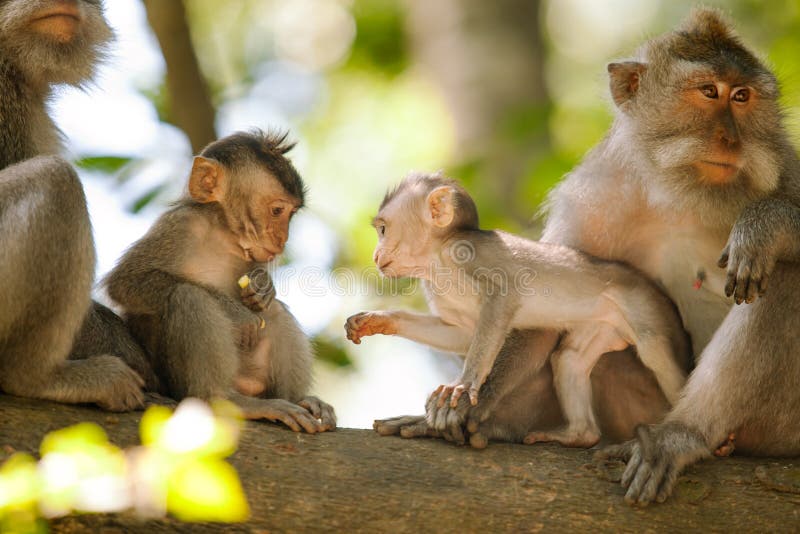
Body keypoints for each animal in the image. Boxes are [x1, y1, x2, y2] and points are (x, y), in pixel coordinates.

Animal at [104, 131, 336, 436]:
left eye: (292, 214)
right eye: (277, 210)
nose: (282, 239)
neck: (223, 233)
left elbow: (262, 294)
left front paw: (263, 287)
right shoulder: (178, 226)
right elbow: (126, 282)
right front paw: (237, 312)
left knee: (274, 312)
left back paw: (298, 400)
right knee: (188, 295)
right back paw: (222, 398)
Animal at [346, 173, 692, 448]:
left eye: (383, 229)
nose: (376, 254)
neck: (436, 259)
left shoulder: (468, 253)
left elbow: (503, 297)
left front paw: (465, 388)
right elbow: (462, 334)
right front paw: (380, 321)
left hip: (645, 305)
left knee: (655, 352)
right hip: (604, 325)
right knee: (568, 359)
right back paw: (579, 435)